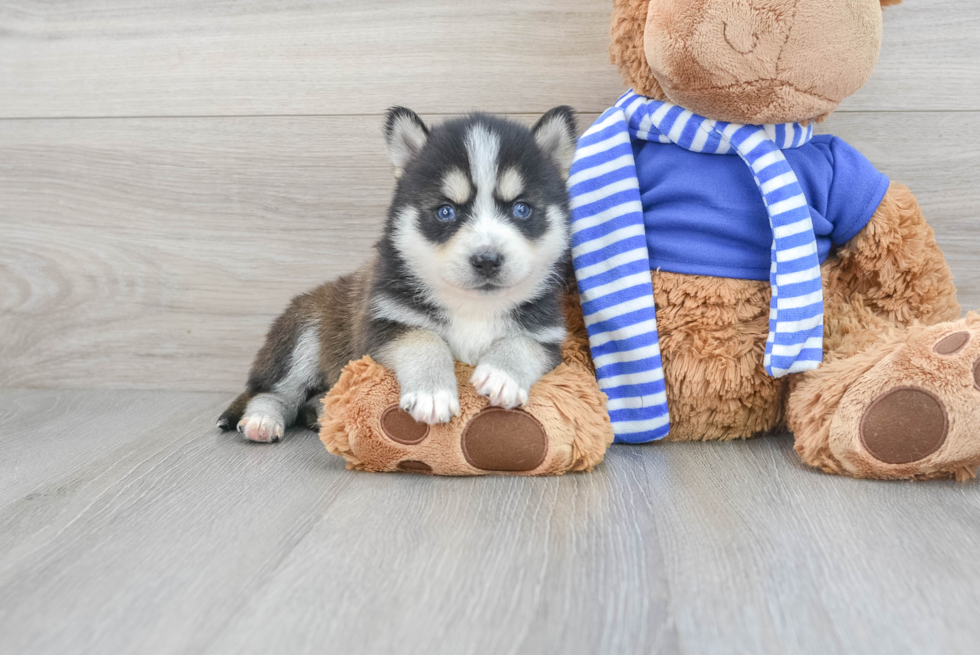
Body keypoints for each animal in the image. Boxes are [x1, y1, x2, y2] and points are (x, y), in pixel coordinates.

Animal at [218, 107, 580, 444]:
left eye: (522, 209)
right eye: (445, 211)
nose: (488, 260)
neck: (472, 307)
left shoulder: (547, 338)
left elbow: (520, 343)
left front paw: (502, 375)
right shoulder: (385, 326)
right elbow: (425, 339)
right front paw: (432, 394)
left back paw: (320, 409)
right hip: (303, 333)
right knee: (273, 391)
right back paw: (263, 420)